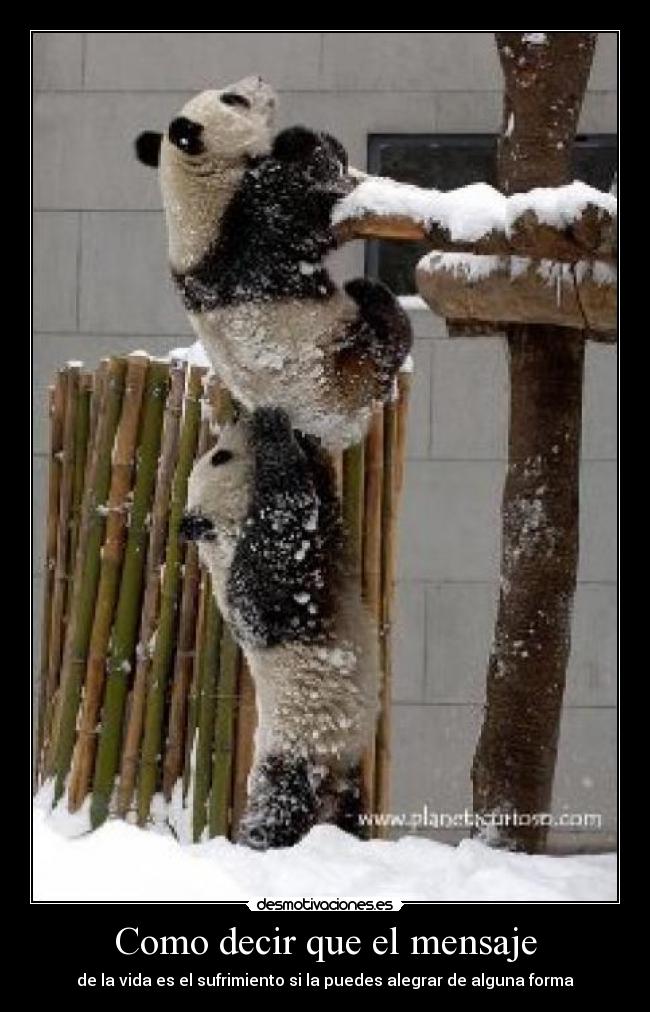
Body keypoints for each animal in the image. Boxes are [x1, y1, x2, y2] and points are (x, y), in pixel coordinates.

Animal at [135, 76, 412, 449]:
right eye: (232, 99)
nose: (260, 79)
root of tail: (338, 432)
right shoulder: (248, 226)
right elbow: (305, 212)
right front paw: (299, 139)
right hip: (344, 363)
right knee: (385, 335)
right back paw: (374, 299)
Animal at [180, 406, 378, 849]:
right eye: (220, 456)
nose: (243, 420)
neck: (220, 530)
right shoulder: (254, 584)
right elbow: (279, 547)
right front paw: (274, 428)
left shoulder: (326, 541)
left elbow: (322, 501)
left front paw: (305, 441)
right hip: (292, 749)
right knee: (279, 808)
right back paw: (260, 842)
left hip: (344, 764)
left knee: (350, 810)